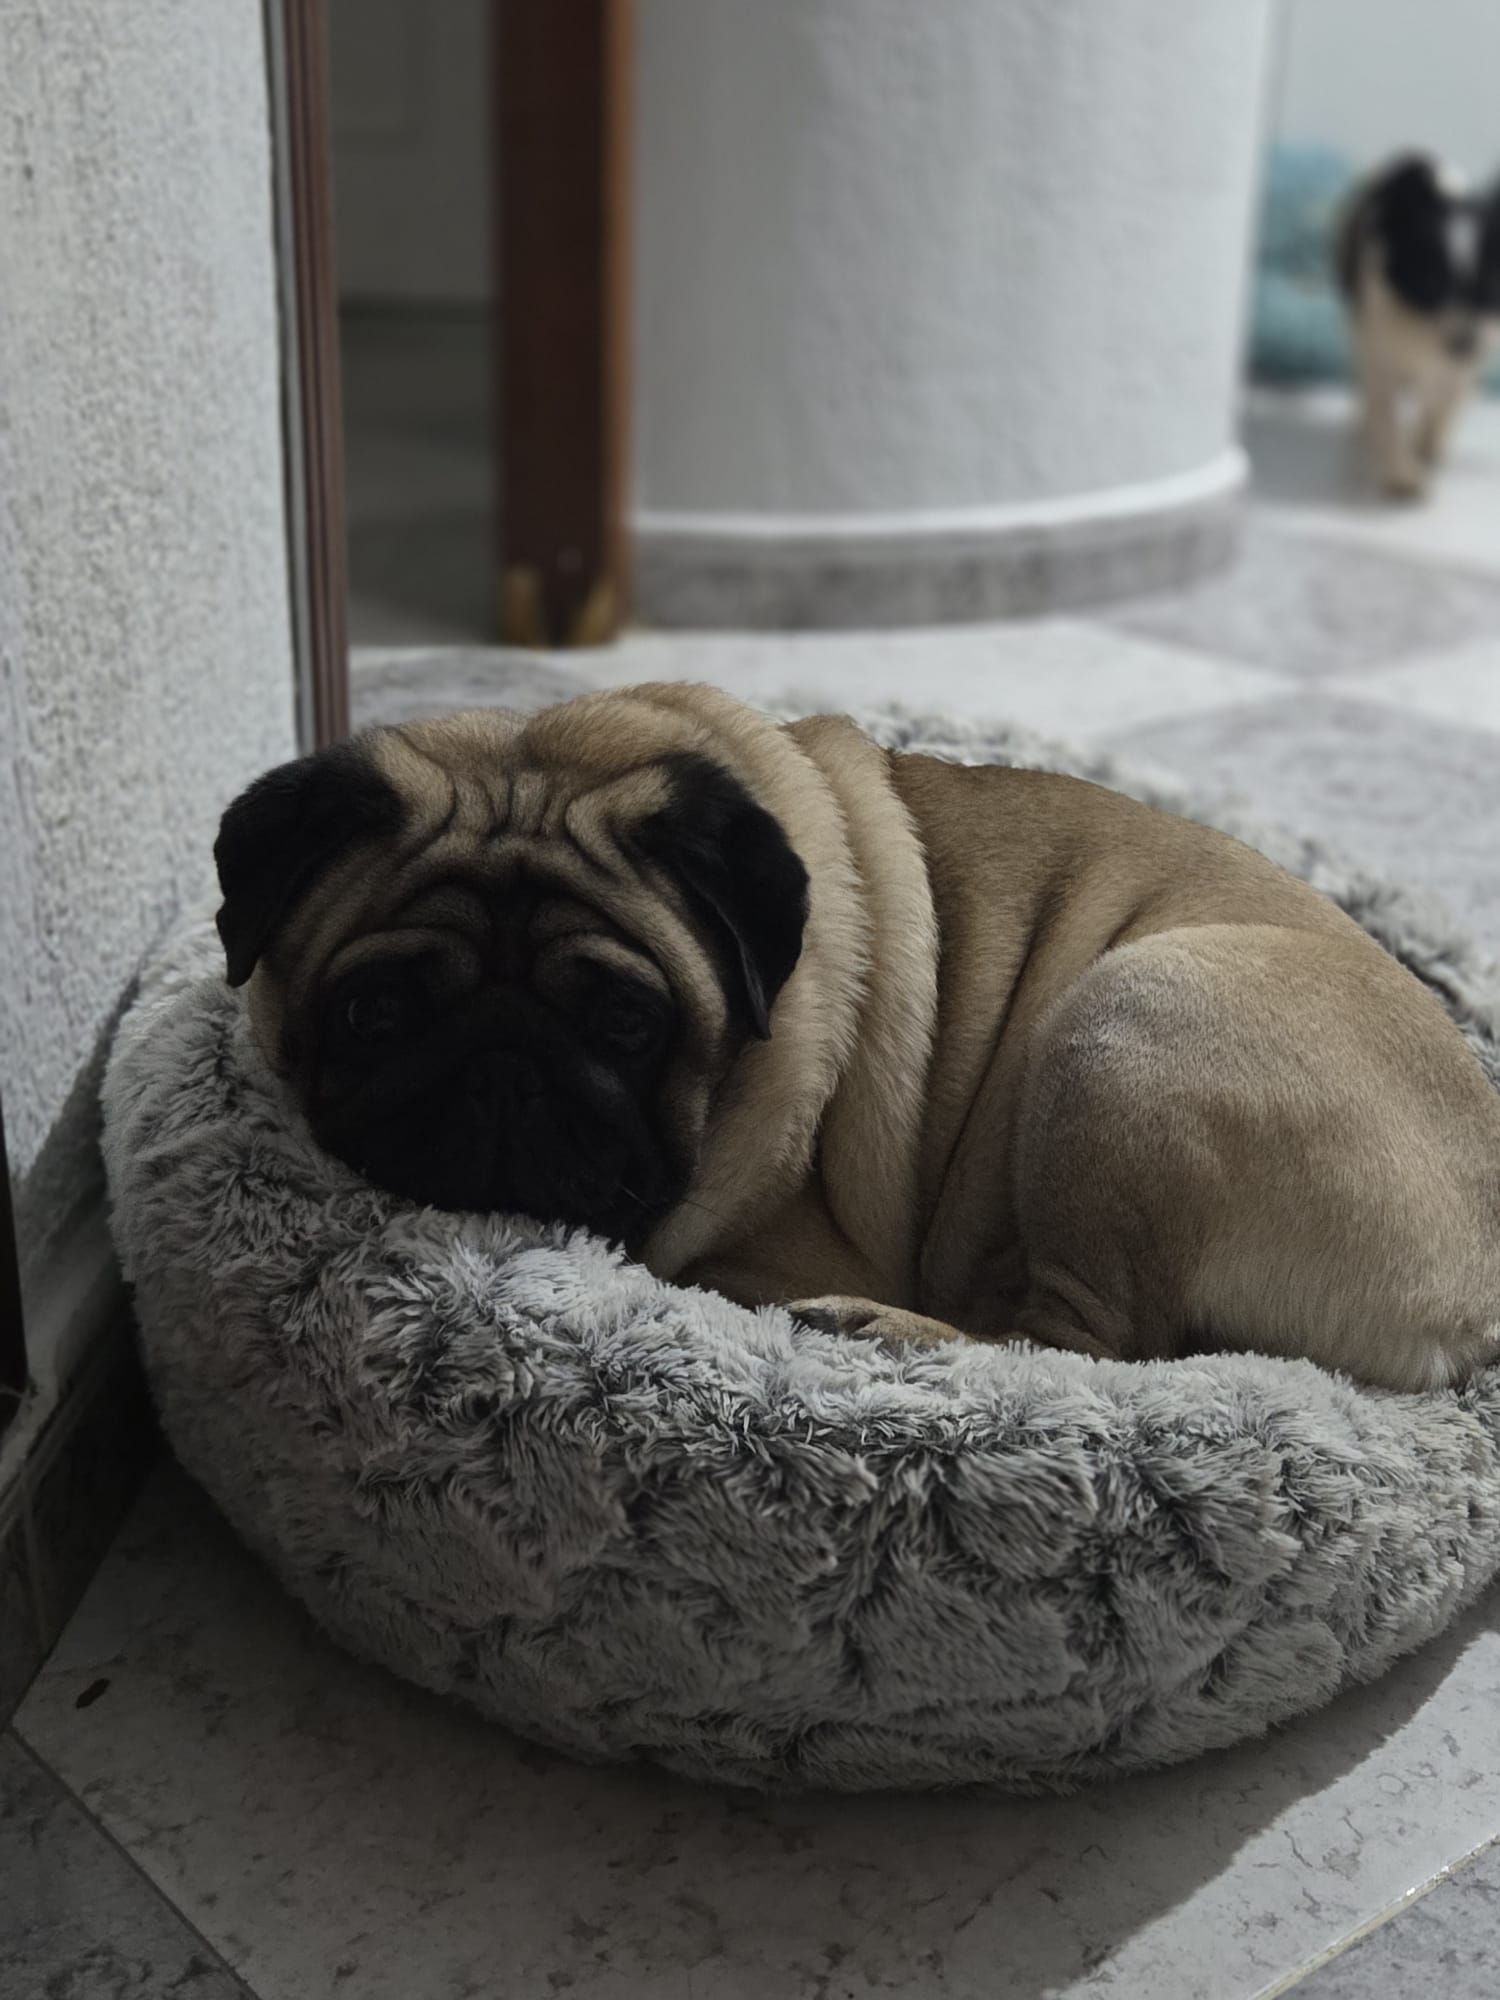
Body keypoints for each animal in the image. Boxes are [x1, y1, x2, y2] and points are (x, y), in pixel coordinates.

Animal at [215, 683, 1500, 1391]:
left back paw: (889, 1328)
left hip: (1126, 1027)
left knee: (1095, 1350)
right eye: (373, 1011)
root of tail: (1473, 1298)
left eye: (629, 1021)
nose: (501, 1066)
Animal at [1335, 152, 1500, 498]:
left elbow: (1443, 406)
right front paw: (1402, 475)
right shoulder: (1378, 347)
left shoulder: (1468, 361)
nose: (1464, 343)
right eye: (1431, 285)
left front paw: (1426, 449)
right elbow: (1385, 412)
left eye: (1490, 289)